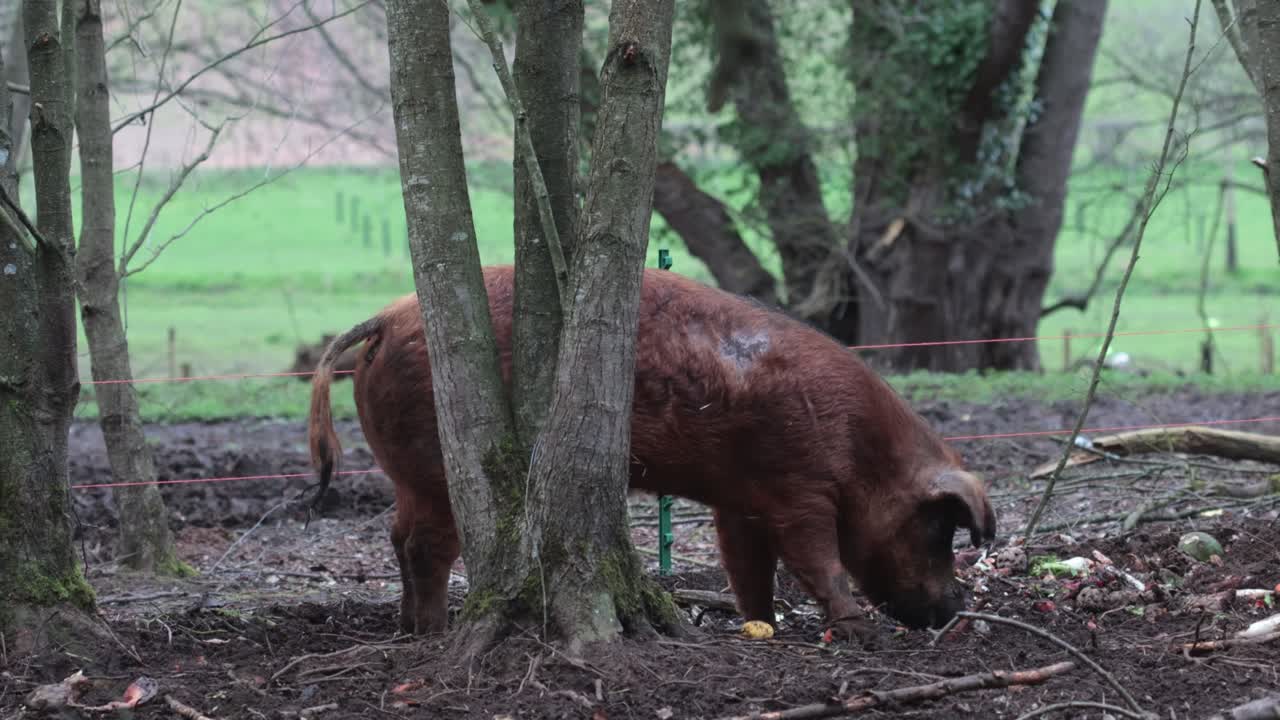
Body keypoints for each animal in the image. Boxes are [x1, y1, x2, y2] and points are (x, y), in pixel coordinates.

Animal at [308, 265, 995, 641]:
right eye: (938, 531)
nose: (956, 607)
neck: (862, 452)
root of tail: (385, 319)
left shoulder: (740, 501)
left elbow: (746, 567)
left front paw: (762, 626)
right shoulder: (799, 484)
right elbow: (815, 558)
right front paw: (856, 632)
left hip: (405, 472)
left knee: (398, 536)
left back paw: (408, 627)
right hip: (437, 465)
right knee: (427, 545)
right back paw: (435, 630)